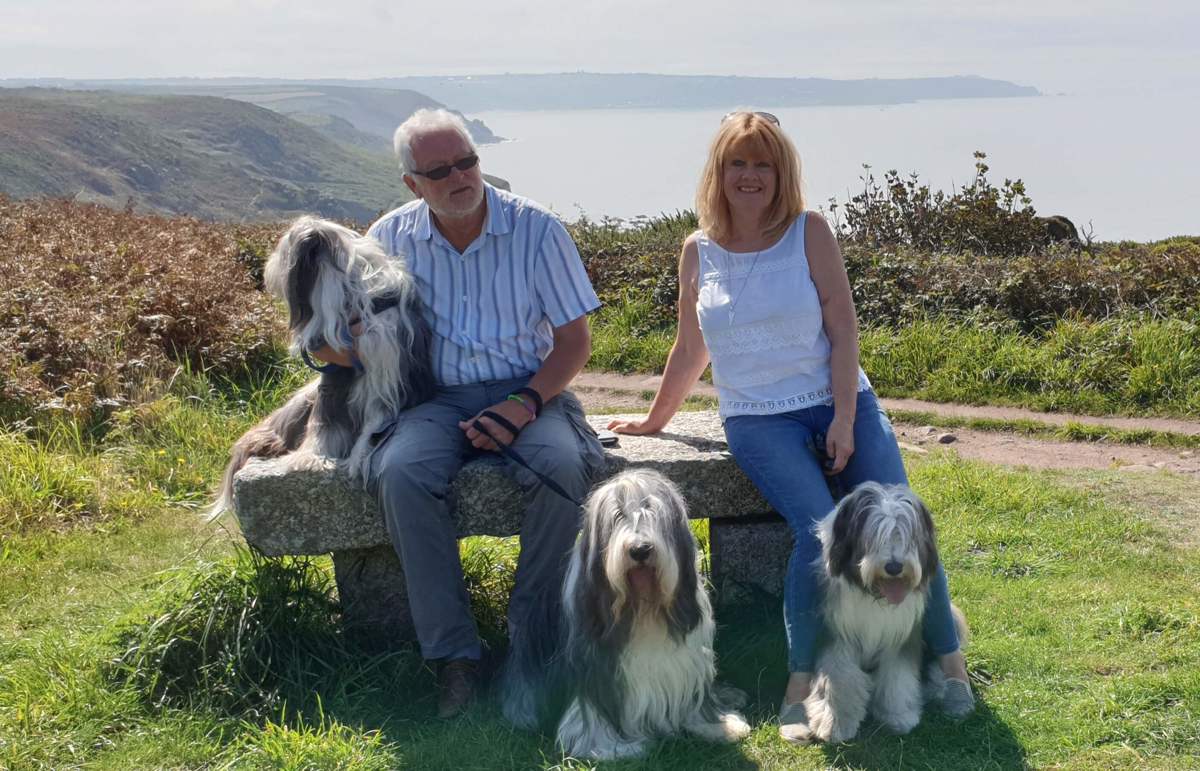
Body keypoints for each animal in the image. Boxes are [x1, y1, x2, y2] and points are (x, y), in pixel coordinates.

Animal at [211, 216, 436, 516]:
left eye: (284, 249)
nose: (267, 269)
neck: (361, 301)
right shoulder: (337, 371)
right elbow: (324, 422)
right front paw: (312, 458)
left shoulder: (390, 377)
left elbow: (372, 423)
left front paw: (356, 458)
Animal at [504, 465, 748, 758]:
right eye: (618, 515)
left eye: (652, 511)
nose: (640, 549)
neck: (642, 608)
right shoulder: (596, 670)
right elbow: (594, 716)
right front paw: (614, 747)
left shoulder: (688, 662)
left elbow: (695, 702)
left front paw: (718, 726)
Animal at [796, 482, 964, 739]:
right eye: (874, 535)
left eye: (905, 535)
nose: (894, 567)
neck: (874, 596)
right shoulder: (836, 633)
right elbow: (839, 676)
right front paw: (835, 722)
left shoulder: (901, 634)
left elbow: (897, 676)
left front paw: (898, 716)